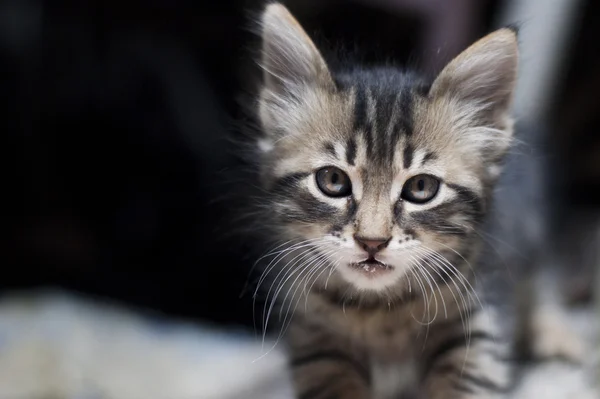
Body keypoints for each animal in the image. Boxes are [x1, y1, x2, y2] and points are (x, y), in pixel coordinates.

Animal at [251, 3, 516, 399]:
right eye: (333, 181)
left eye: (421, 187)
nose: (372, 242)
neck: (380, 311)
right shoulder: (314, 341)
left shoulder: (478, 327)